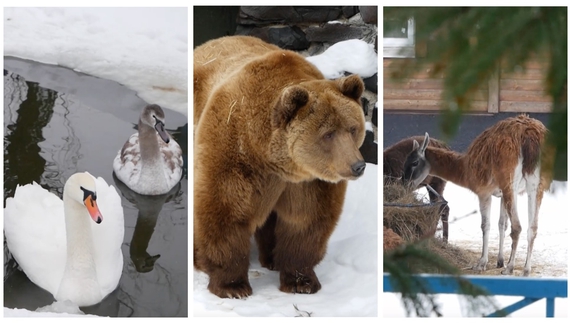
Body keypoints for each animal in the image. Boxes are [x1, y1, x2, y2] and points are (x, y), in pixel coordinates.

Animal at [193, 34, 366, 300]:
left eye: (353, 128)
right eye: (328, 134)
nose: (357, 166)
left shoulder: (309, 181)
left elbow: (305, 221)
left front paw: (301, 281)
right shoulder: (235, 154)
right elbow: (226, 210)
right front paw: (233, 286)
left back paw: (271, 258)